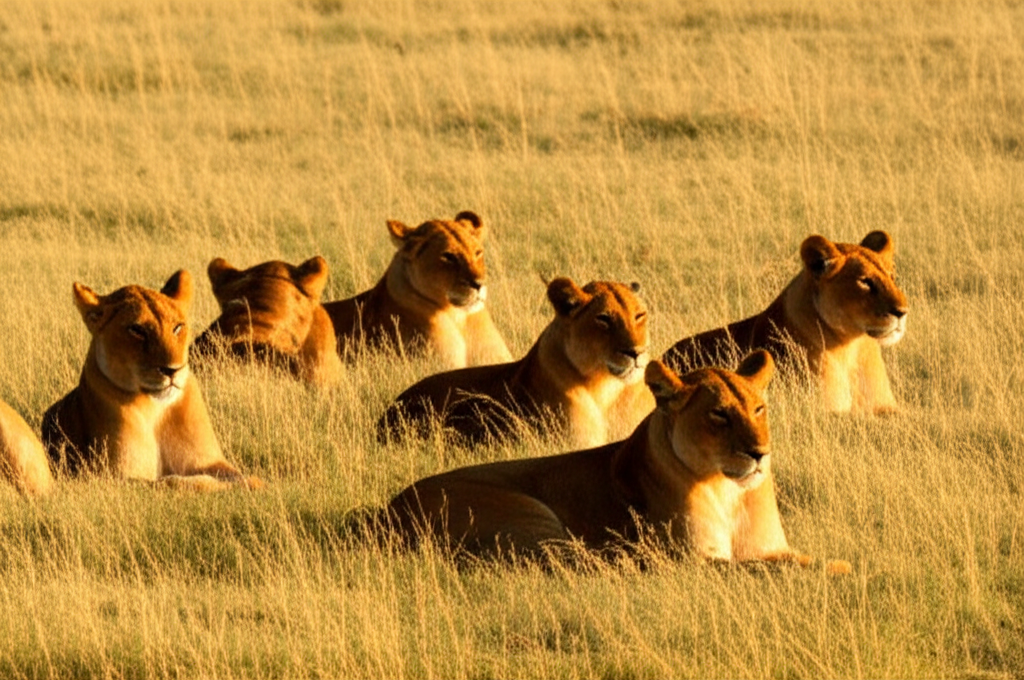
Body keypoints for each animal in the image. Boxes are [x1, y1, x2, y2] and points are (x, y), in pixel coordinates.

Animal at [42, 270, 261, 491]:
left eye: (177, 327)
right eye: (137, 330)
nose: (172, 370)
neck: (157, 409)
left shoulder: (210, 461)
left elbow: (250, 478)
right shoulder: (113, 477)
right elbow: (174, 482)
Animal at [385, 351, 850, 572]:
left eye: (758, 409)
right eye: (719, 415)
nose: (759, 453)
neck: (729, 490)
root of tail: (387, 509)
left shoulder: (776, 548)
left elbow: (802, 561)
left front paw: (843, 566)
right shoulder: (694, 561)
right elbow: (761, 572)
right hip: (532, 519)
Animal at [662, 231, 908, 414]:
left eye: (892, 277)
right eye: (865, 282)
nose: (902, 312)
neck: (853, 347)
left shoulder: (886, 406)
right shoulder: (823, 411)